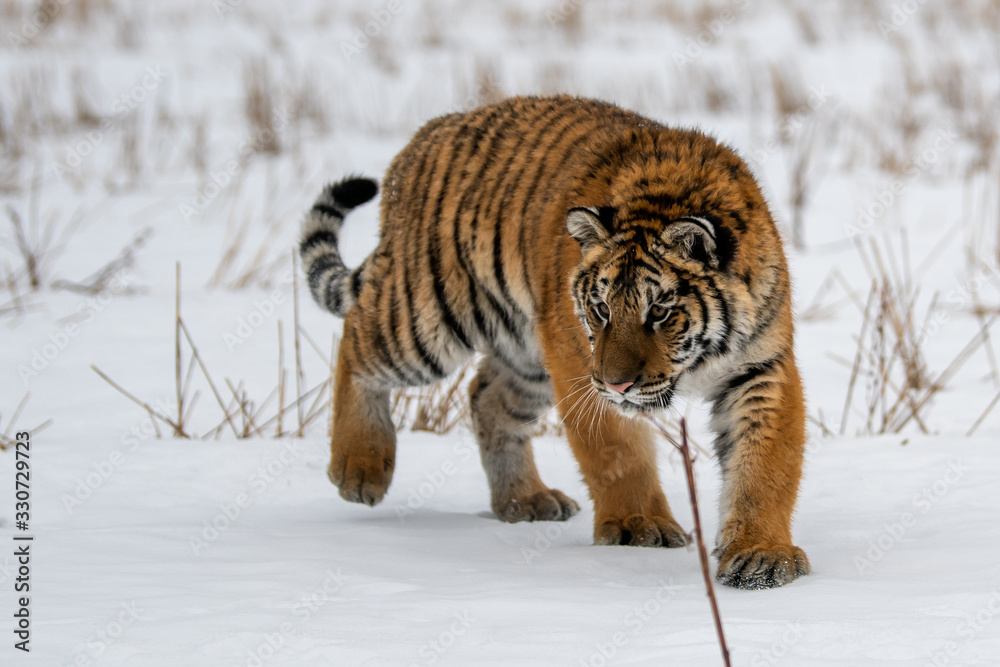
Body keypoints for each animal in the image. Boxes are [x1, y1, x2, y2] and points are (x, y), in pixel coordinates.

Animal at [299, 95, 810, 590]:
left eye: (659, 312)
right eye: (602, 309)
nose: (619, 385)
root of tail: (425, 135)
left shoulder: (759, 368)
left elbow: (764, 464)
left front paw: (761, 555)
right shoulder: (581, 369)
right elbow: (617, 453)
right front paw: (639, 527)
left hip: (524, 354)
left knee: (487, 399)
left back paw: (524, 500)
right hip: (426, 316)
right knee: (355, 339)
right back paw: (359, 468)